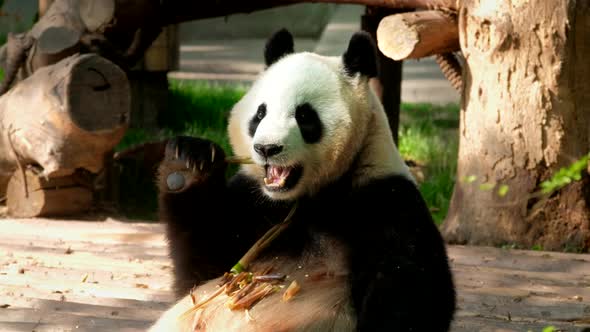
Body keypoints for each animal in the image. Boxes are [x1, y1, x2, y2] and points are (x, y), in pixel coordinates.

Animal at [150, 29, 456, 332]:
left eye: (305, 115)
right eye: (260, 113)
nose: (267, 148)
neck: (309, 197)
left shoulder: (386, 200)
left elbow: (414, 292)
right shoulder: (254, 203)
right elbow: (203, 272)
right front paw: (187, 164)